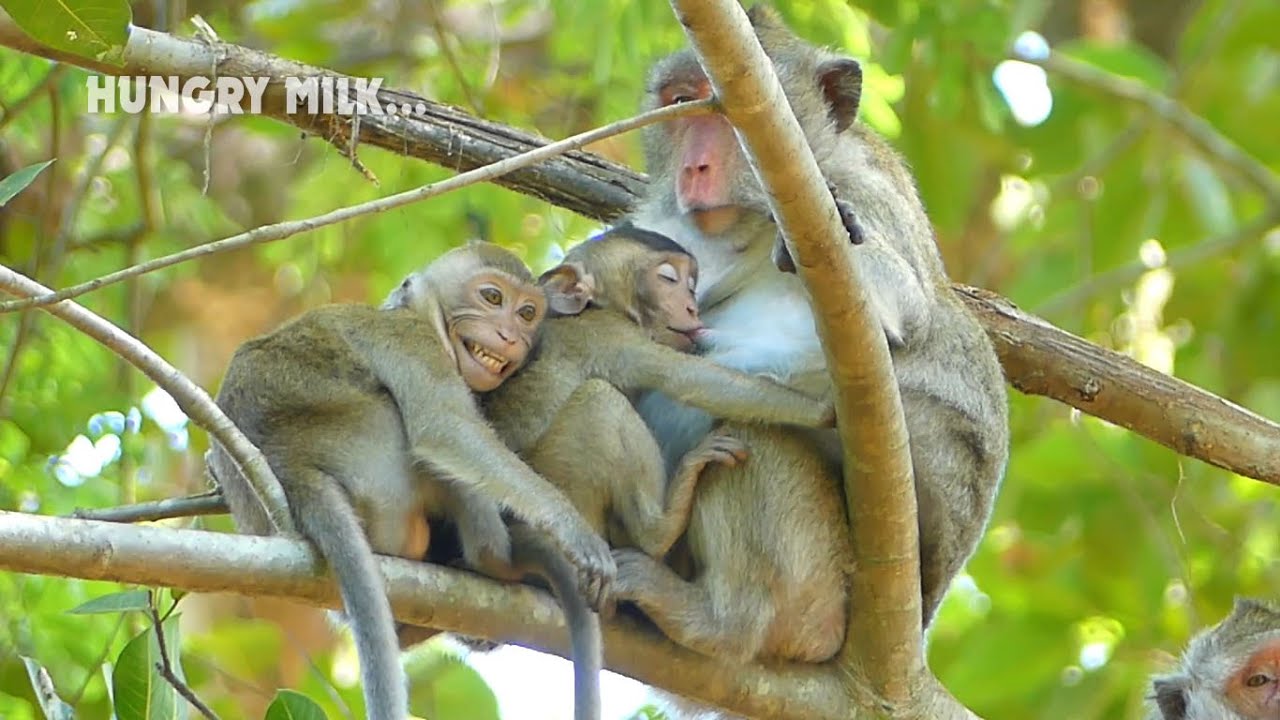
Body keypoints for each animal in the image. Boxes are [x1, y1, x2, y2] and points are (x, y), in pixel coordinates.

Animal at [205, 242, 615, 720]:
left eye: (527, 312)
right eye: (493, 298)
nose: (511, 335)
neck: (422, 317)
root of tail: (291, 467)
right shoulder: (411, 342)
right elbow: (444, 427)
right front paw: (571, 528)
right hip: (376, 460)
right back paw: (497, 559)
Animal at [617, 4, 1010, 664]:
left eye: (728, 116)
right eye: (682, 104)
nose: (694, 169)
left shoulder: (853, 193)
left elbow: (905, 310)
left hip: (824, 575)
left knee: (752, 425)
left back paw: (722, 620)